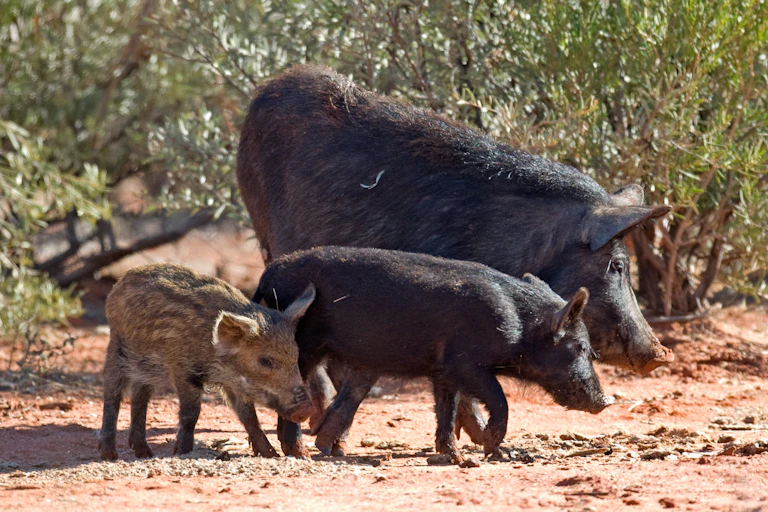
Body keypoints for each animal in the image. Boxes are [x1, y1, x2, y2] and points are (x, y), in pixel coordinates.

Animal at [98, 263, 316, 461]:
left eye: (295, 354)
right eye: (265, 360)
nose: (307, 409)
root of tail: (120, 282)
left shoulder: (235, 383)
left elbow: (250, 417)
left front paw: (271, 454)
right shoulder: (182, 369)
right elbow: (191, 413)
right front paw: (182, 452)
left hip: (145, 369)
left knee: (139, 397)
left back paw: (144, 452)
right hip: (117, 347)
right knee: (112, 394)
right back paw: (109, 455)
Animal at [253, 246, 614, 463]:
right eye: (581, 348)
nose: (606, 401)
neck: (518, 325)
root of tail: (269, 274)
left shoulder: (443, 370)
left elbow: (446, 409)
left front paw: (455, 457)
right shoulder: (465, 363)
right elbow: (499, 399)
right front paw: (491, 450)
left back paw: (324, 451)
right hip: (304, 345)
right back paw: (300, 453)